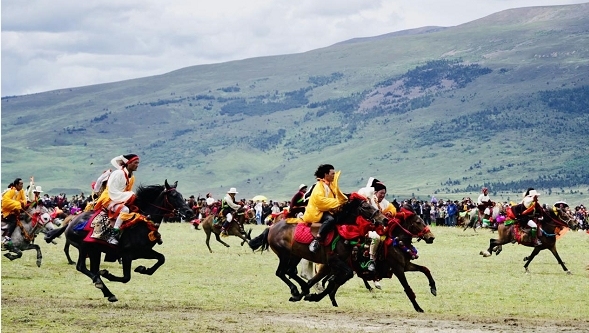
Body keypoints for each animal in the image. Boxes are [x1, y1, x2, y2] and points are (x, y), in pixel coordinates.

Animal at [44, 180, 195, 302]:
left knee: (93, 269)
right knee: (81, 267)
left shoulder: (144, 251)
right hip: (84, 247)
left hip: (95, 251)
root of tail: (71, 222)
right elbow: (126, 277)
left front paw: (143, 269)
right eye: (174, 195)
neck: (142, 223)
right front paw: (108, 274)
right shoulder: (127, 255)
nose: (189, 212)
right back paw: (100, 283)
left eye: (181, 195)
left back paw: (108, 292)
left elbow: (161, 259)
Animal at [246, 193, 388, 304]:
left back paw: (301, 289)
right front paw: (311, 295)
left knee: (290, 271)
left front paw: (309, 295)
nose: (385, 219)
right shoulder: (334, 261)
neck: (342, 232)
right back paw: (295, 289)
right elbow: (341, 277)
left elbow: (329, 280)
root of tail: (271, 227)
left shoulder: (331, 265)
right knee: (281, 272)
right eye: (366, 207)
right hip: (284, 255)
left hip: (295, 255)